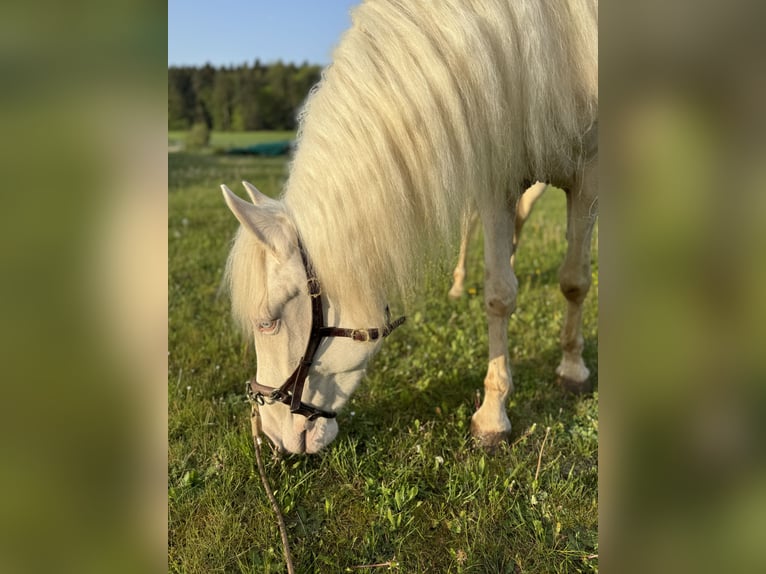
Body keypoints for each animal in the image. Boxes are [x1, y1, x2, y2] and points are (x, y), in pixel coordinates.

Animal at [222, 1, 600, 460]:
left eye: (266, 323)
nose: (272, 436)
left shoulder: (587, 175)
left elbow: (574, 281)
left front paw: (571, 371)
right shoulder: (499, 175)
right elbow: (498, 294)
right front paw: (494, 414)